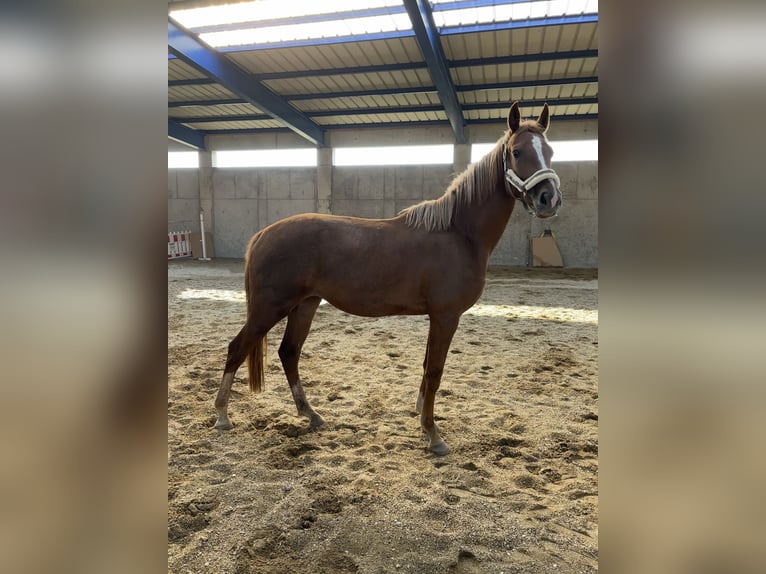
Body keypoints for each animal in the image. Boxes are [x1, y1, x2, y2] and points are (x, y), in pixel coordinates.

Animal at [216, 101, 564, 456]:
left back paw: (310, 414)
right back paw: (222, 416)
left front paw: (421, 418)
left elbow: (426, 367)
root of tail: (263, 234)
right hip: (270, 307)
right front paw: (433, 434)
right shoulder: (446, 316)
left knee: (289, 353)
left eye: (550, 151)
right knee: (237, 348)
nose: (548, 199)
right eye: (517, 151)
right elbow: (435, 371)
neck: (459, 233)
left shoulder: (437, 317)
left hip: (305, 305)